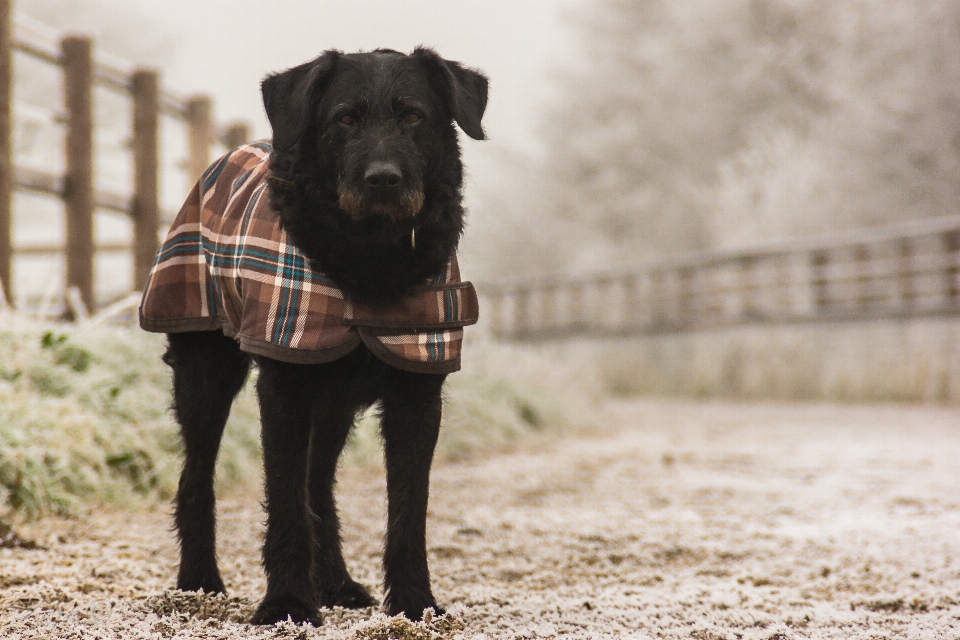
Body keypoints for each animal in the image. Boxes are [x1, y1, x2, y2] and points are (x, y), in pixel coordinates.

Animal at [141, 48, 488, 624]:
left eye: (414, 116)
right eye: (344, 118)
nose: (382, 180)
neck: (368, 257)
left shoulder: (417, 392)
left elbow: (408, 509)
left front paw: (414, 602)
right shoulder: (285, 387)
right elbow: (285, 498)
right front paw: (286, 602)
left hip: (333, 407)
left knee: (319, 487)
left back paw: (337, 583)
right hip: (205, 376)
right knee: (198, 478)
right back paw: (199, 582)